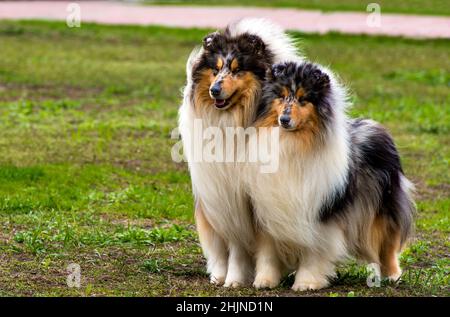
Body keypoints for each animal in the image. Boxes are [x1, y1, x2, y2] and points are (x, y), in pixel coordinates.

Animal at [178, 19, 300, 286]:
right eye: (216, 69)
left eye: (236, 70)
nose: (214, 90)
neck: (233, 119)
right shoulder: (222, 194)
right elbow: (230, 242)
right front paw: (227, 277)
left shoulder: (250, 200)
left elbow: (247, 245)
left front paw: (240, 279)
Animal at [246, 60, 414, 290]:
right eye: (281, 96)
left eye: (303, 99)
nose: (284, 119)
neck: (292, 143)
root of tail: (376, 126)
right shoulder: (268, 209)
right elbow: (268, 250)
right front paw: (264, 280)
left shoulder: (320, 213)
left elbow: (314, 251)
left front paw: (306, 282)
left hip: (382, 210)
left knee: (387, 245)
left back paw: (392, 276)